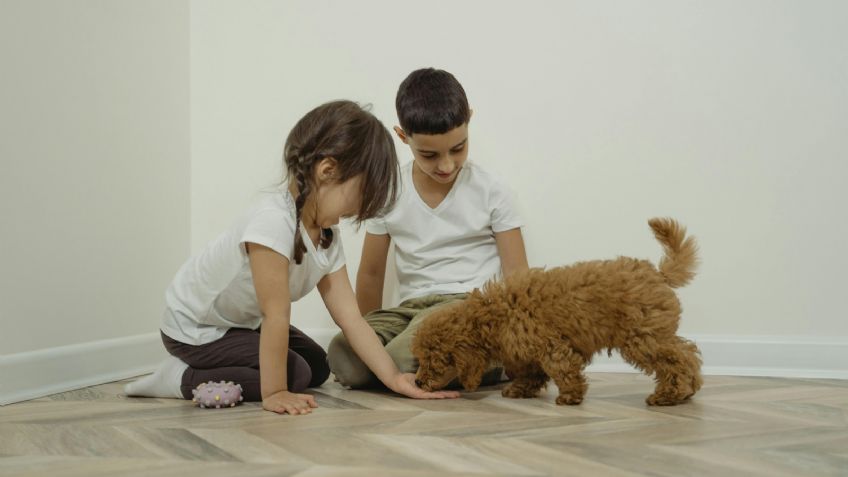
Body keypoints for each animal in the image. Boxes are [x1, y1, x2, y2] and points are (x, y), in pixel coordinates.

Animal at [412, 218, 704, 404]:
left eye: (433, 360)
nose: (417, 382)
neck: (491, 317)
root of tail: (658, 274)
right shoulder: (527, 352)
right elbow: (532, 373)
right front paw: (520, 390)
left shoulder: (550, 344)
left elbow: (562, 368)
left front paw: (570, 395)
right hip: (652, 334)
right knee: (687, 352)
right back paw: (690, 389)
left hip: (643, 338)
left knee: (678, 359)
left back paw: (670, 394)